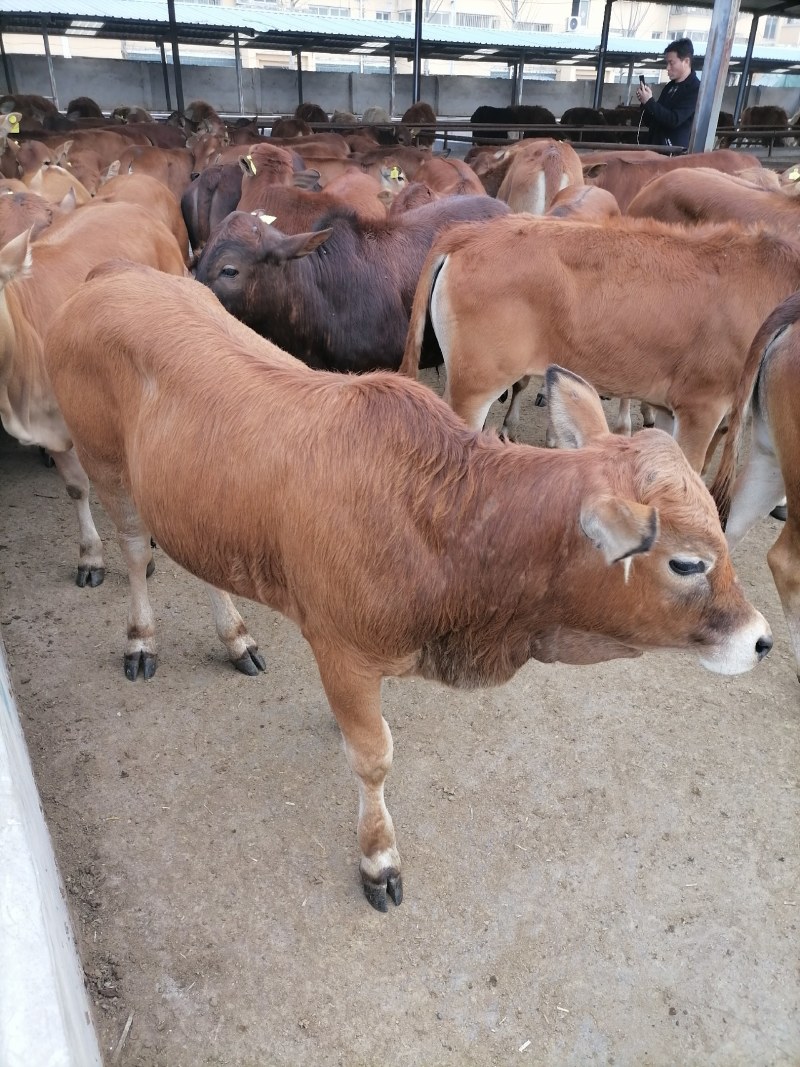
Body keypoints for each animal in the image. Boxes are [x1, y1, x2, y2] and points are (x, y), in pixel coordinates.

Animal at [46, 264, 772, 909]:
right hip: (109, 469)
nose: (762, 639)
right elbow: (373, 759)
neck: (447, 525)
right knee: (135, 551)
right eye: (687, 563)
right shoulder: (344, 650)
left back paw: (236, 637)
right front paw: (378, 858)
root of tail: (108, 277)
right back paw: (141, 639)